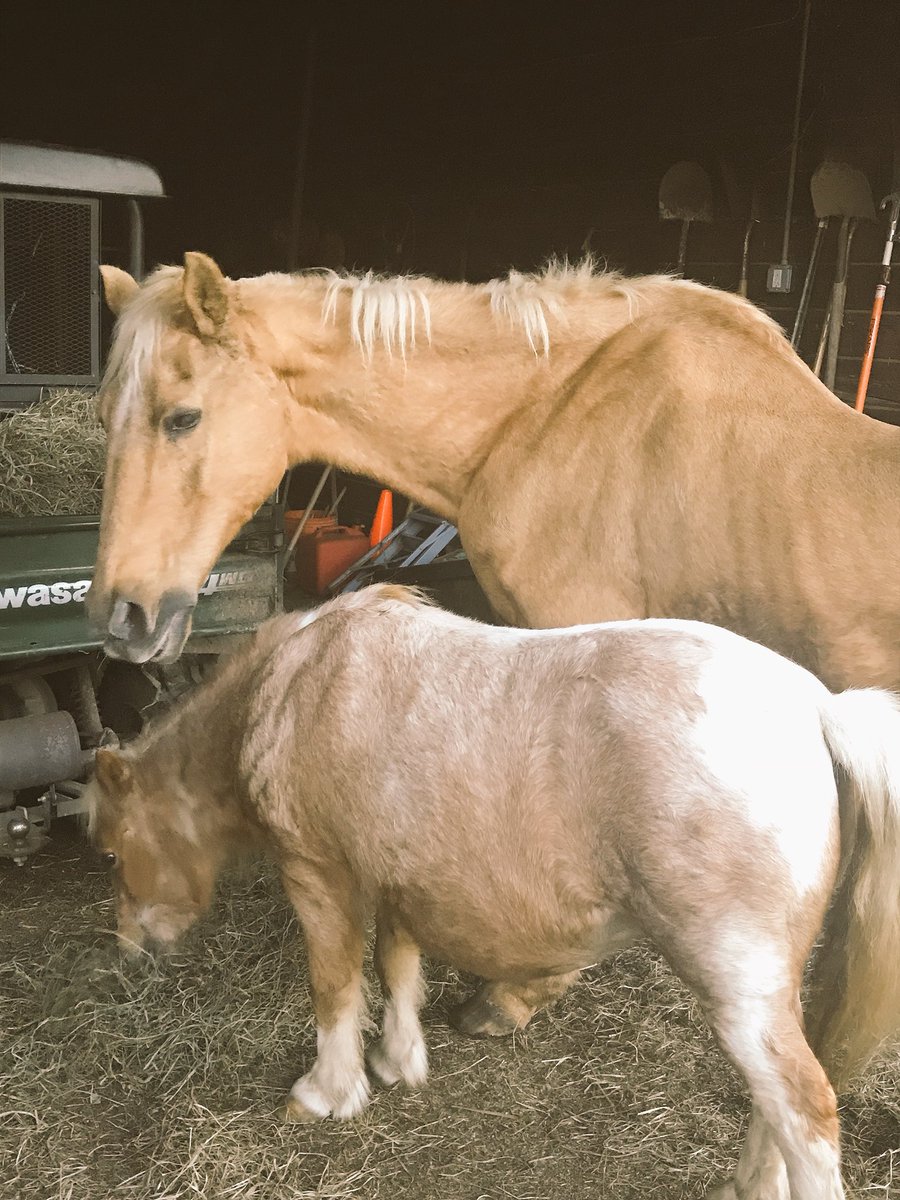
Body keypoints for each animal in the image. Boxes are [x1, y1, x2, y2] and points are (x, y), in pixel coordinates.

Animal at [87, 585, 900, 1200]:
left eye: (112, 851)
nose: (129, 951)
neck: (299, 683)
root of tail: (816, 707)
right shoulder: (399, 876)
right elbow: (396, 961)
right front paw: (398, 1060)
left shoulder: (318, 874)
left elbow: (335, 984)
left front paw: (327, 1091)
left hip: (738, 988)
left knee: (803, 1109)